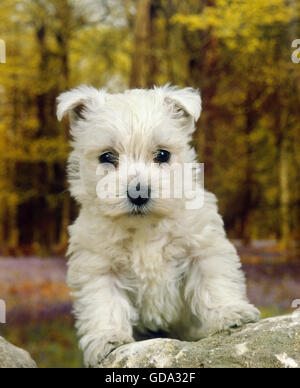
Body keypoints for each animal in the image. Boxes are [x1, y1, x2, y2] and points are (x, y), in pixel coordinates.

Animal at [56, 84, 260, 366]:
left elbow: (214, 282)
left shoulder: (202, 248)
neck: (145, 225)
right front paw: (108, 338)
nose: (138, 192)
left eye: (162, 155)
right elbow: (105, 303)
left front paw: (229, 312)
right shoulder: (99, 266)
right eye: (107, 156)